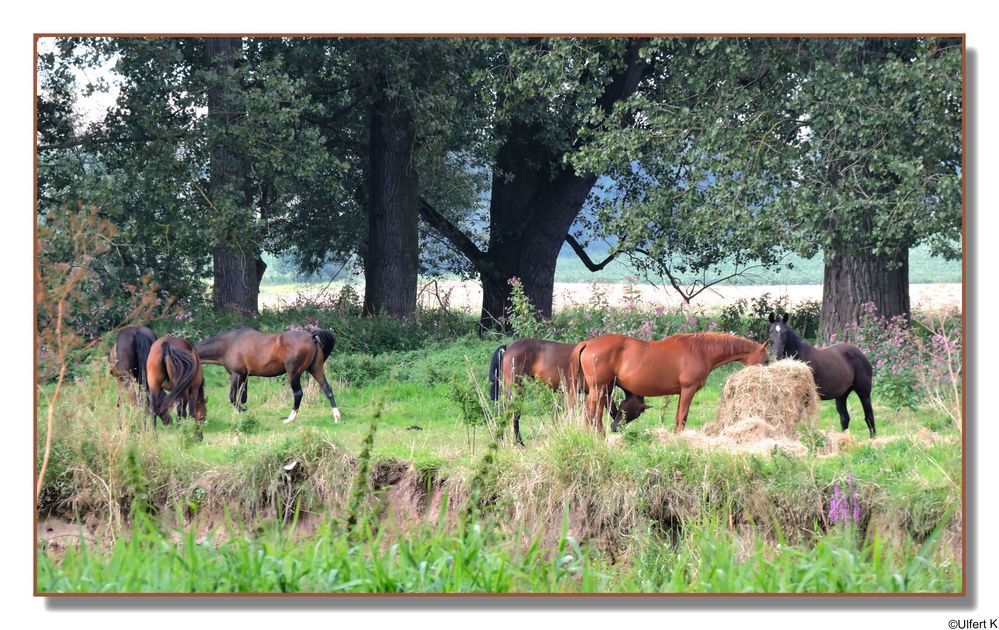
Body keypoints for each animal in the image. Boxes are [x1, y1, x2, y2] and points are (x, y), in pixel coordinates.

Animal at [193, 330, 342, 424]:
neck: (229, 344)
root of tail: (311, 336)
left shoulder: (236, 374)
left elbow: (233, 397)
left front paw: (242, 410)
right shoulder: (244, 376)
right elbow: (242, 396)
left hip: (293, 374)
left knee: (298, 393)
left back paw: (290, 419)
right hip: (316, 369)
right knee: (327, 389)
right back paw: (336, 417)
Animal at [488, 338, 652, 446]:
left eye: (636, 414)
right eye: (630, 411)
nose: (615, 428)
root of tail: (508, 346)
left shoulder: (604, 394)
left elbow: (608, 412)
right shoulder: (602, 392)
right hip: (517, 388)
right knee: (513, 414)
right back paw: (517, 443)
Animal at [568, 330, 768, 434]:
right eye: (766, 360)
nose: (766, 371)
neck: (701, 351)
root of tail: (587, 343)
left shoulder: (682, 392)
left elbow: (679, 415)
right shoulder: (688, 389)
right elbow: (682, 416)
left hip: (603, 388)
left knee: (597, 412)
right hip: (599, 387)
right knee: (591, 411)